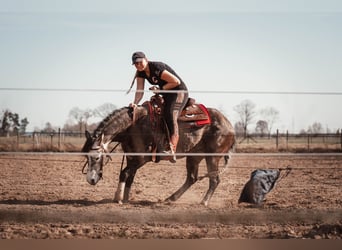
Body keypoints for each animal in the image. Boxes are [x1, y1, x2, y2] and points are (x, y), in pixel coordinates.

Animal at [82, 94, 235, 206]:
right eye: (86, 157)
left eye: (97, 157)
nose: (91, 180)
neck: (134, 125)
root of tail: (229, 125)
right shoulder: (132, 158)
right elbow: (130, 176)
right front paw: (125, 199)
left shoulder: (141, 159)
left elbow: (124, 174)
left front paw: (118, 198)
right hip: (194, 157)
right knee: (191, 178)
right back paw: (171, 199)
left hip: (212, 157)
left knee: (214, 180)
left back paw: (204, 202)